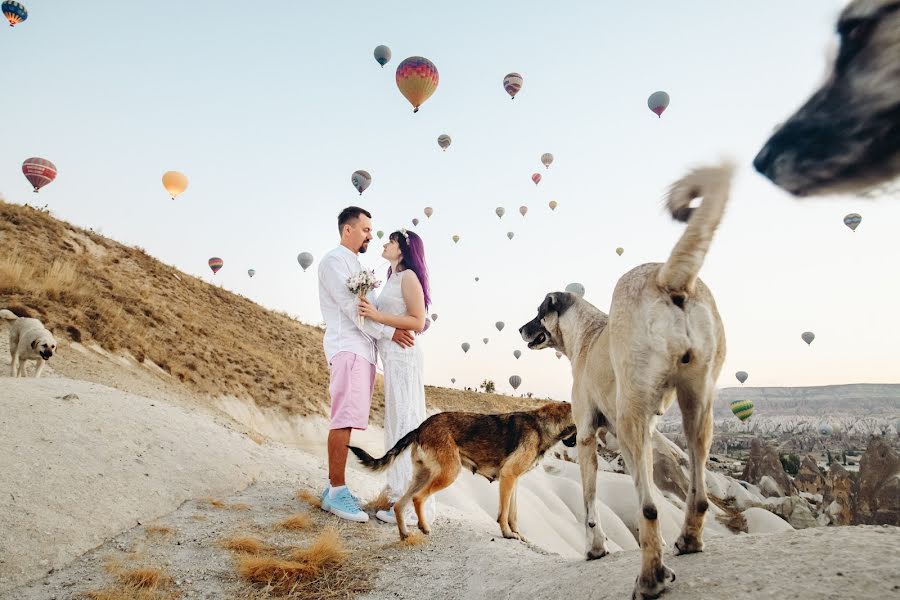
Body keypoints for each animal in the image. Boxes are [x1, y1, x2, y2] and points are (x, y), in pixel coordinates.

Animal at [348, 400, 572, 540]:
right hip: (449, 473)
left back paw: (404, 534)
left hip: (423, 475)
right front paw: (507, 533)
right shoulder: (508, 477)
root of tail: (420, 427)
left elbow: (513, 513)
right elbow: (504, 513)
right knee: (418, 498)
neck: (543, 425)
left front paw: (517, 534)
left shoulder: (514, 481)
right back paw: (424, 527)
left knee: (400, 505)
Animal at [516, 164, 736, 600]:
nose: (519, 329)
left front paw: (595, 548)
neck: (587, 334)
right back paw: (688, 541)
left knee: (649, 506)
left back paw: (650, 579)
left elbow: (590, 503)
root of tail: (668, 276)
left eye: (538, 312)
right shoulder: (631, 434)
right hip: (697, 408)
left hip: (634, 411)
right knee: (698, 493)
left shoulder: (588, 435)